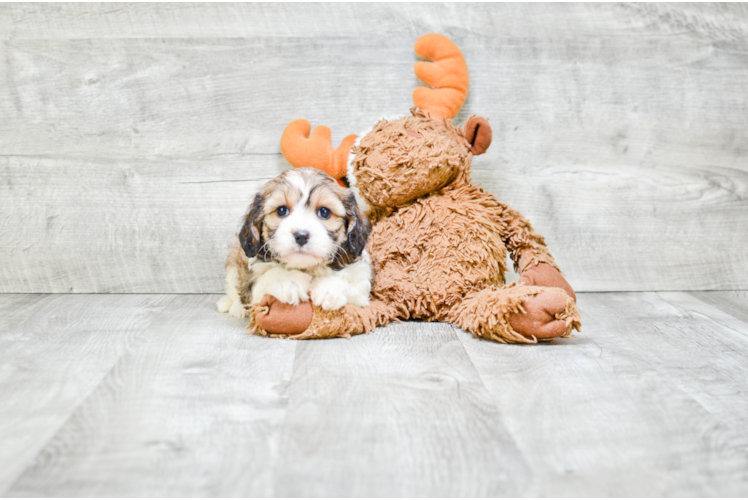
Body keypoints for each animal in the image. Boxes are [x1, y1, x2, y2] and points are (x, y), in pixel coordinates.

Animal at [216, 166, 372, 318]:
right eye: (282, 210)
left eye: (324, 212)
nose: (301, 236)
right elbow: (267, 276)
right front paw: (290, 280)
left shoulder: (361, 275)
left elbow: (354, 281)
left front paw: (329, 288)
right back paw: (232, 306)